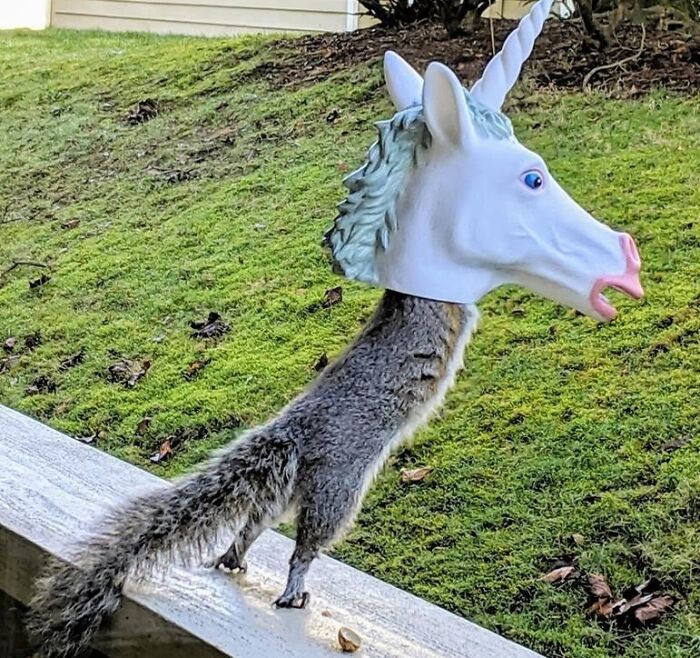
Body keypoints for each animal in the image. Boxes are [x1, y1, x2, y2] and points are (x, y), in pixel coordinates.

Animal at [27, 291, 479, 658]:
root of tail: (297, 432)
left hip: (286, 490)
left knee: (253, 524)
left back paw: (233, 555)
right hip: (337, 487)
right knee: (306, 544)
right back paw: (292, 587)